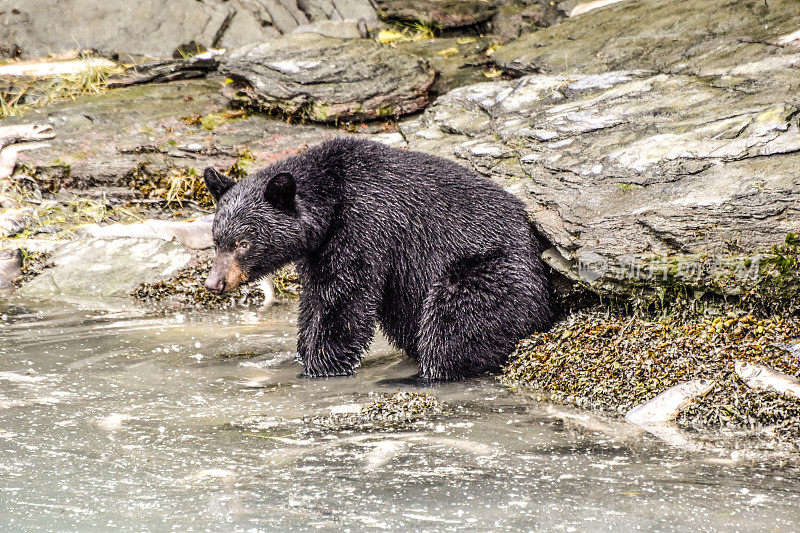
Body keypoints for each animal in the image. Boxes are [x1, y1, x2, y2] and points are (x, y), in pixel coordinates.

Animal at [203, 137, 552, 378]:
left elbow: (346, 298)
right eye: (217, 240)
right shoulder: (318, 249)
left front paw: (319, 366)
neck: (331, 199)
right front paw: (301, 352)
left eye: (243, 243)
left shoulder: (365, 226)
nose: (214, 283)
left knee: (453, 323)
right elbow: (314, 299)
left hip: (489, 273)